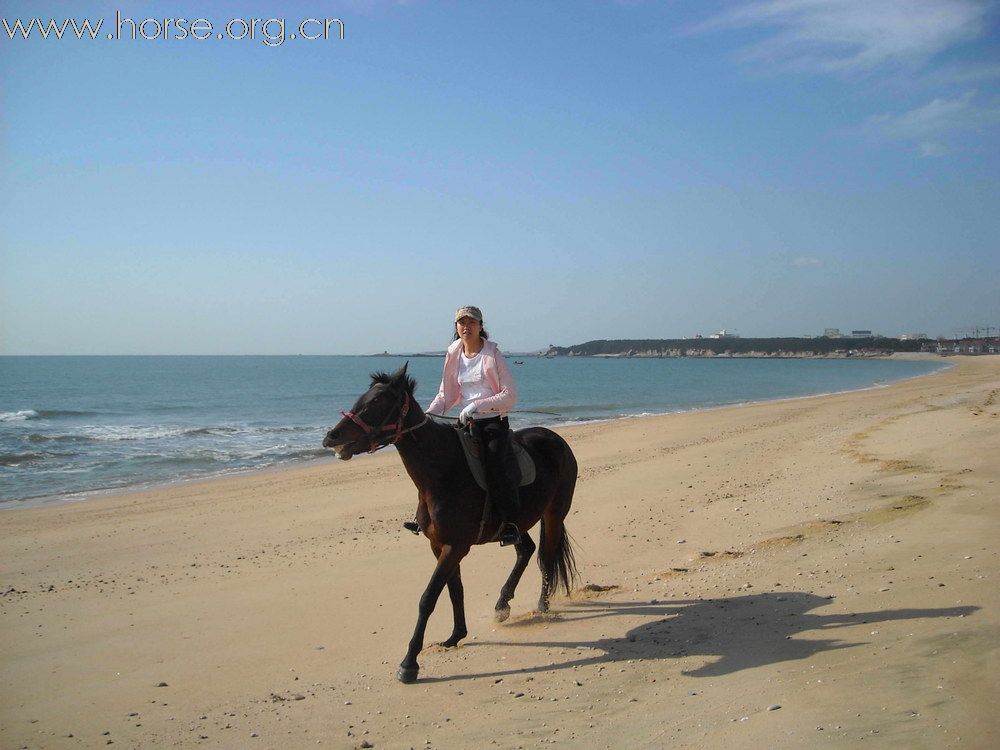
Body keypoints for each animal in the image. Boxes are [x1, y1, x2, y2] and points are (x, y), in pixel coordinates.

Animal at [324, 368, 580, 684]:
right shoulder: (441, 545)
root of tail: (557, 439)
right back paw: (502, 604)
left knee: (545, 557)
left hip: (554, 514)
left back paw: (542, 606)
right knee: (526, 550)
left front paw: (409, 664)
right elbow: (454, 589)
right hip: (517, 523)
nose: (331, 436)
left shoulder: (456, 546)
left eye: (375, 403)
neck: (443, 472)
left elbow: (429, 597)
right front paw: (456, 635)